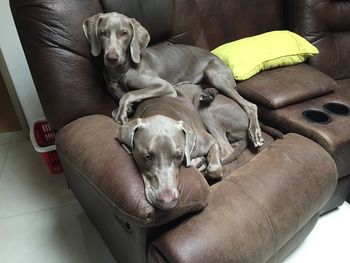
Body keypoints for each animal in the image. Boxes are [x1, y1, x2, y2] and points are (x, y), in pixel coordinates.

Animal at [82, 11, 262, 148]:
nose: (112, 57)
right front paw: (127, 109)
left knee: (250, 105)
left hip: (213, 72)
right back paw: (208, 94)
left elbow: (128, 95)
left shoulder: (165, 86)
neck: (121, 72)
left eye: (124, 33)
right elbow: (115, 108)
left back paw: (255, 133)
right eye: (103, 33)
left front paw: (123, 113)